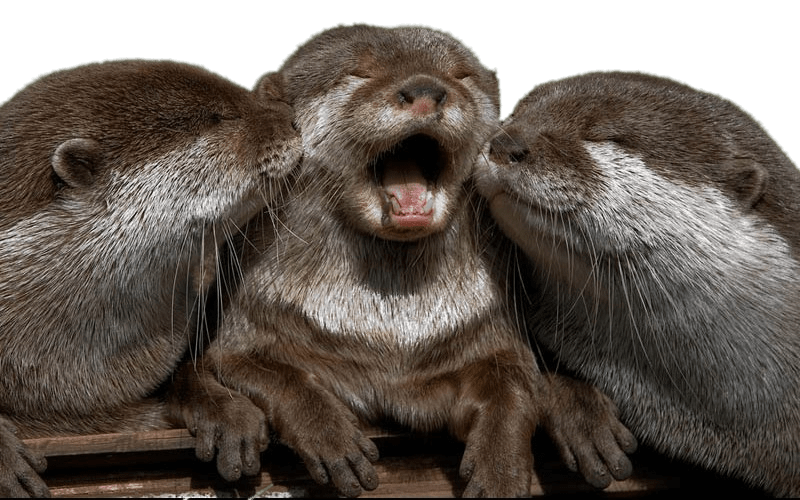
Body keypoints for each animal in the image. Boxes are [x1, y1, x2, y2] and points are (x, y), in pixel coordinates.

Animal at [168, 24, 636, 497]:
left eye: (460, 75)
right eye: (357, 73)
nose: (427, 90)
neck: (390, 338)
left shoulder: (488, 332)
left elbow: (514, 383)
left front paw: (500, 470)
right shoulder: (248, 322)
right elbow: (272, 374)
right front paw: (330, 436)